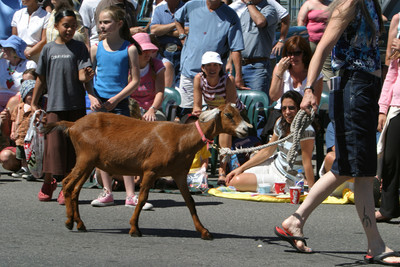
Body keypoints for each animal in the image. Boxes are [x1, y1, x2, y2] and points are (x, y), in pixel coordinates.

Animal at [43, 103, 250, 240]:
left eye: (240, 113)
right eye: (228, 114)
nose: (247, 129)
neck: (182, 138)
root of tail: (72, 125)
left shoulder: (179, 174)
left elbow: (190, 202)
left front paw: (204, 231)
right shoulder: (150, 170)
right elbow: (142, 198)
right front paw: (134, 228)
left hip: (89, 162)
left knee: (75, 189)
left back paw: (78, 223)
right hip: (85, 158)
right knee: (68, 184)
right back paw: (70, 222)